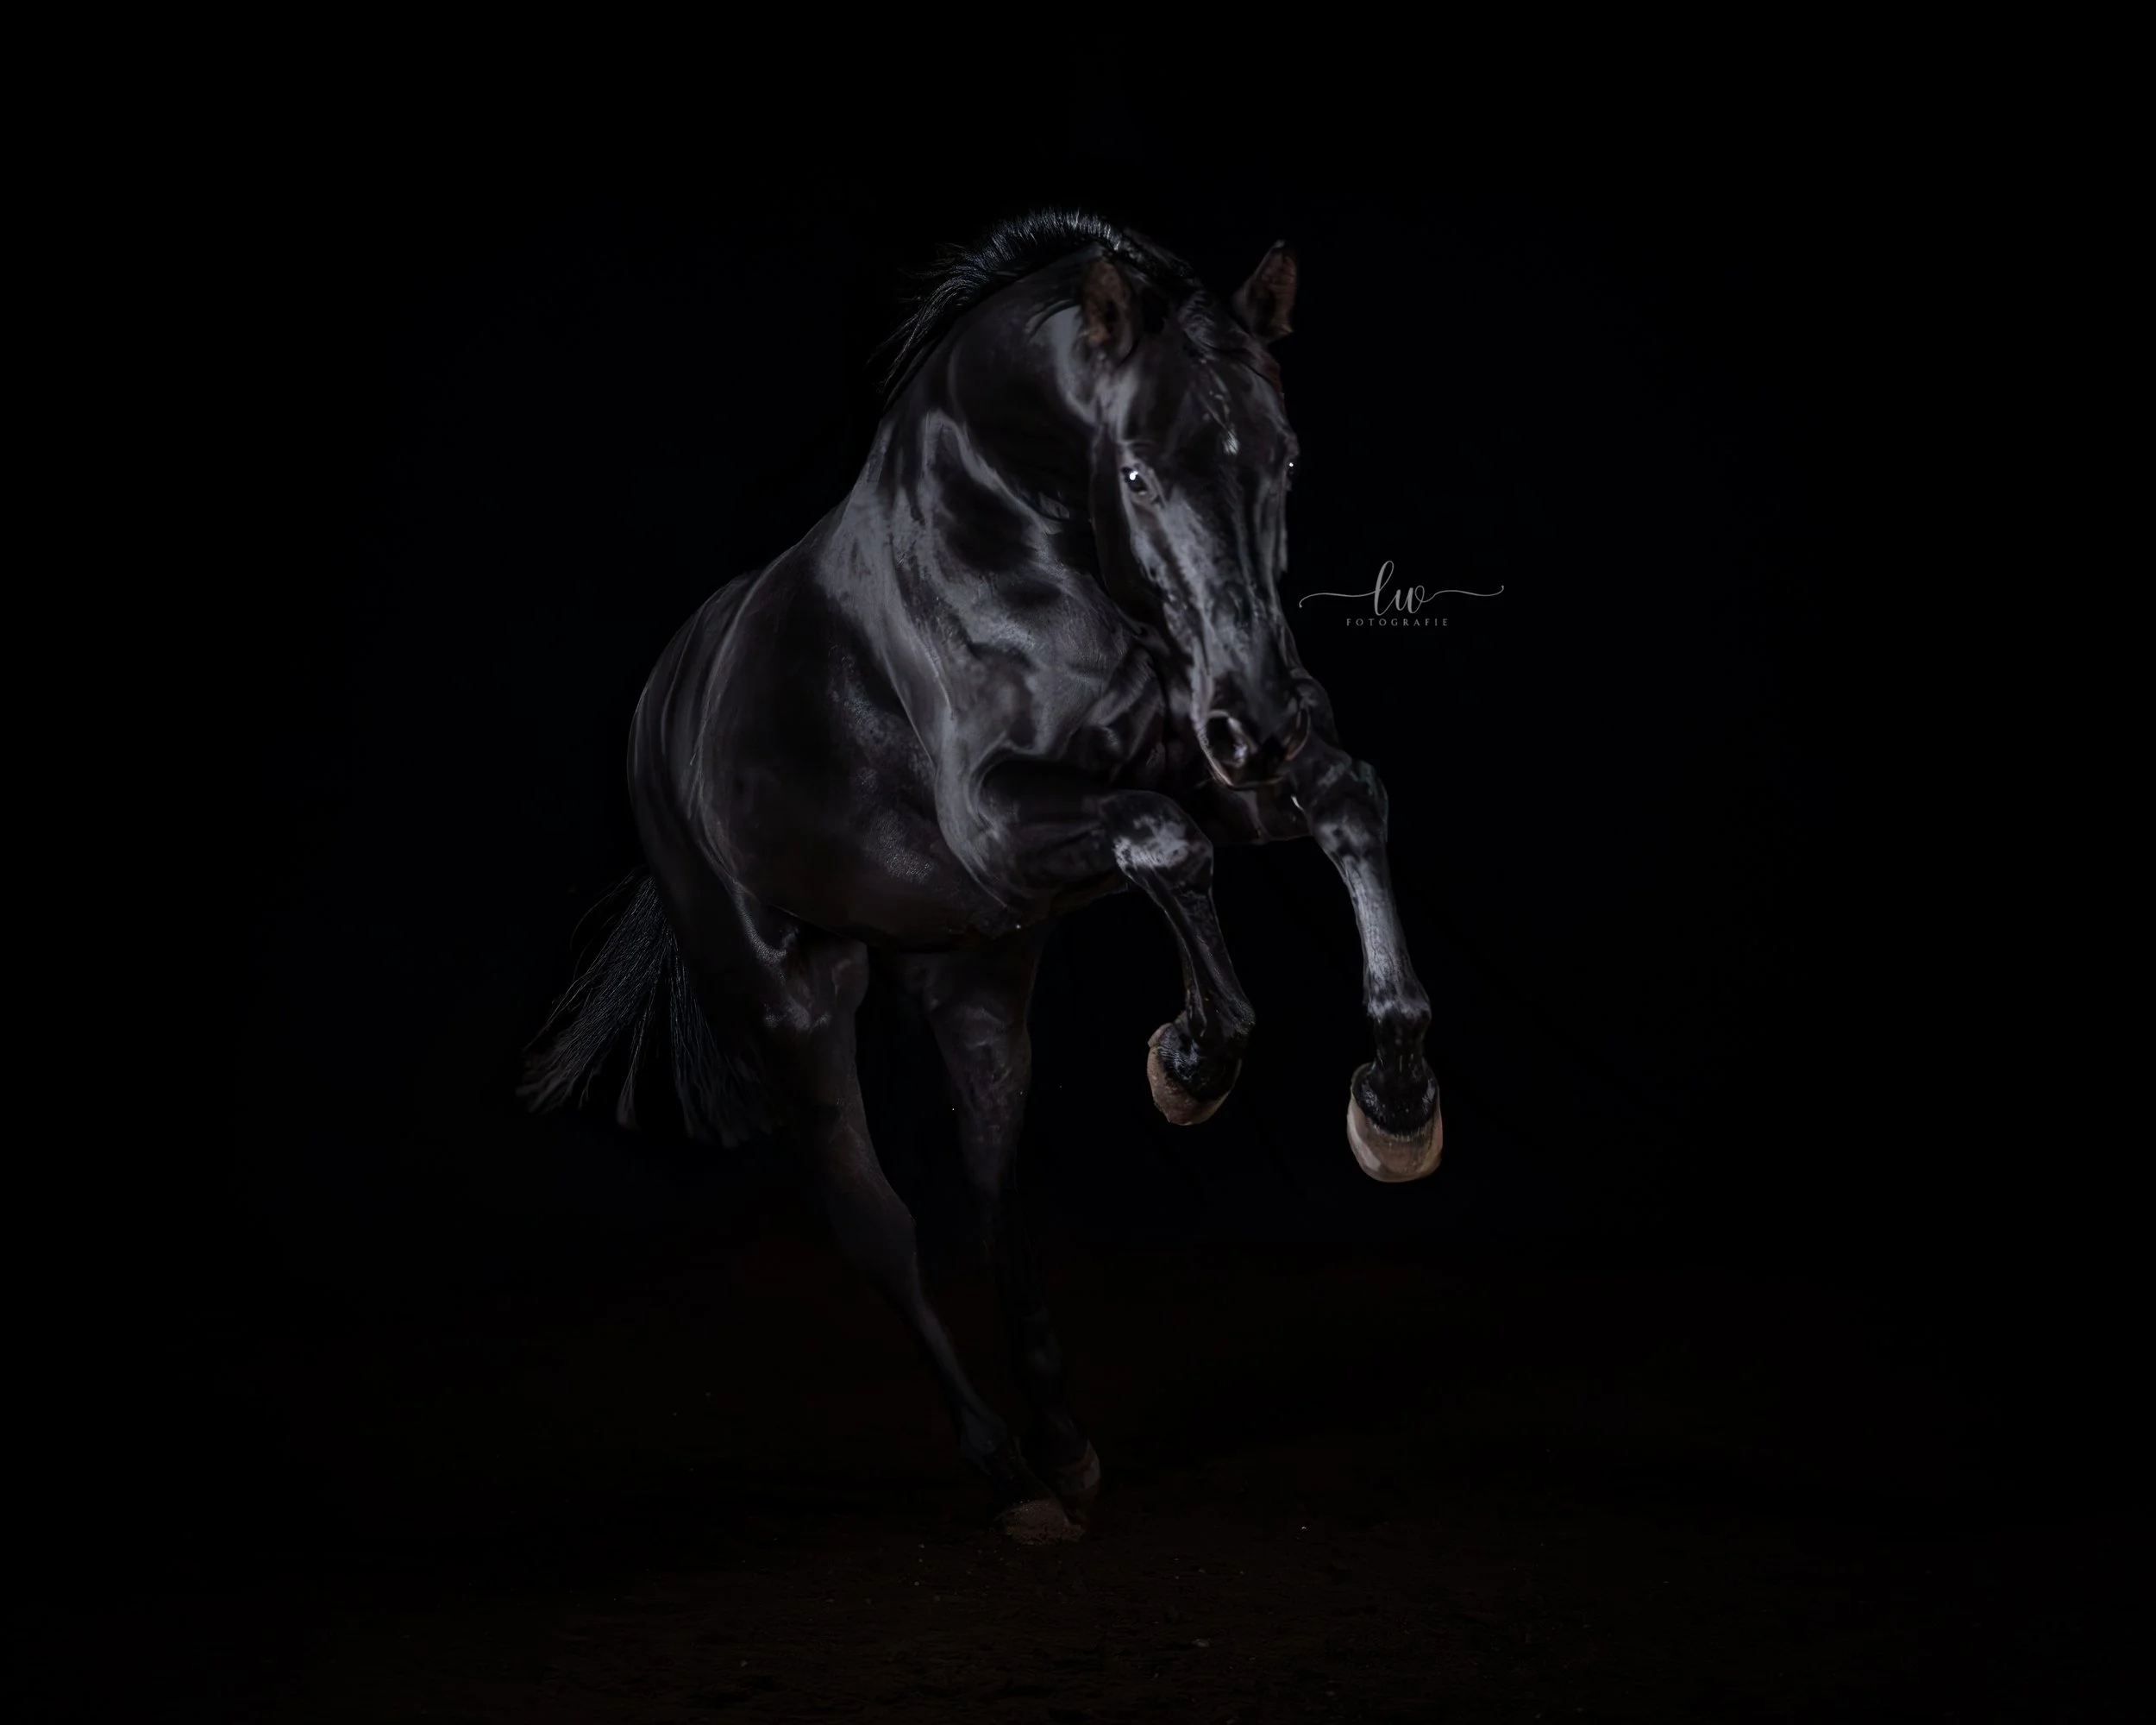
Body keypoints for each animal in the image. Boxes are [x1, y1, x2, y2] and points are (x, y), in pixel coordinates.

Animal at [522, 210, 1442, 1544]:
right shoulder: (1006, 817)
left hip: (977, 990)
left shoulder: (1211, 766)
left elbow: (1343, 798)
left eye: (1284, 458)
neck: (1016, 532)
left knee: (996, 1203)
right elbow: (1170, 841)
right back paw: (1009, 1475)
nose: (1262, 714)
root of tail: (666, 704)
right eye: (1136, 473)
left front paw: (1397, 1103)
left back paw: (1063, 1444)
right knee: (883, 1231)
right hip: (791, 1013)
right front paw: (1193, 1064)